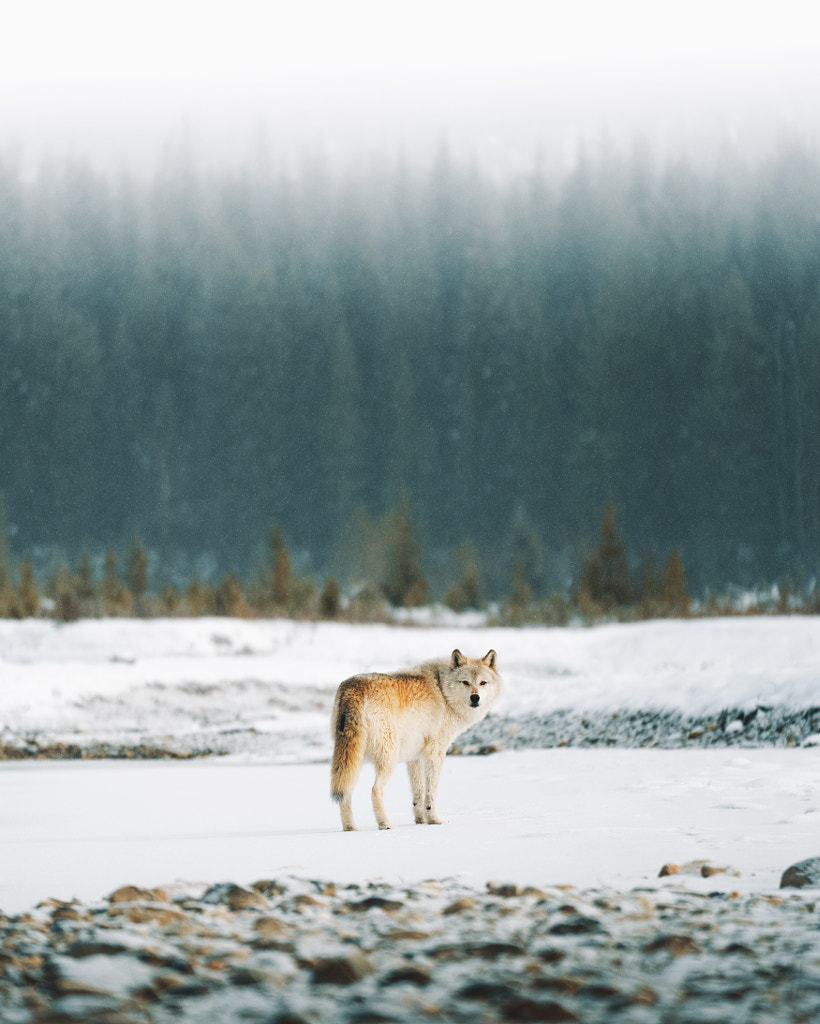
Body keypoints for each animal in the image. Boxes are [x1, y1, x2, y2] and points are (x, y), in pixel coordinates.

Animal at [327, 647, 499, 831]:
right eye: (465, 682)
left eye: (483, 683)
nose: (475, 698)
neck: (443, 690)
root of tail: (353, 689)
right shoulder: (435, 753)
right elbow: (431, 792)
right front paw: (434, 820)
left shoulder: (414, 756)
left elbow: (418, 793)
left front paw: (420, 821)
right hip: (389, 758)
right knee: (375, 790)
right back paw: (385, 824)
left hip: (351, 762)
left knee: (345, 793)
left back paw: (350, 828)